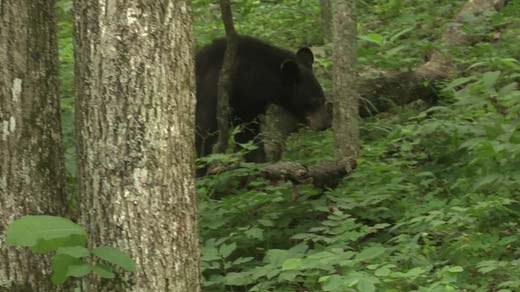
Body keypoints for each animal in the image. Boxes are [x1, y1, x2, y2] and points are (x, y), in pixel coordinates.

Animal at [195, 35, 330, 161]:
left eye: (323, 98)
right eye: (314, 100)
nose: (326, 123)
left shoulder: (250, 108)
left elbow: (249, 138)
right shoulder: (212, 94)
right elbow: (204, 135)